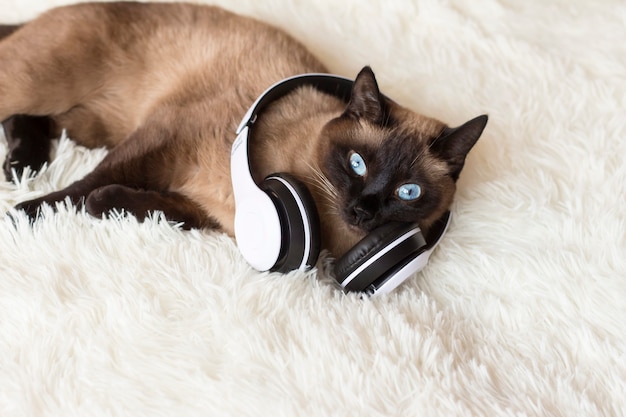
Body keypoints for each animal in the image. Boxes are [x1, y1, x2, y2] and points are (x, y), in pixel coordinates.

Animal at [0, 1, 486, 258]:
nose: (363, 211)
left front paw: (101, 204)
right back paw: (21, 174)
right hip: (38, 86)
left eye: (409, 192)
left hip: (91, 124)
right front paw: (19, 215)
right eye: (357, 164)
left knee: (35, 121)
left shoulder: (205, 212)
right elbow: (81, 188)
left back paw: (23, 165)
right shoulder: (164, 139)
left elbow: (129, 202)